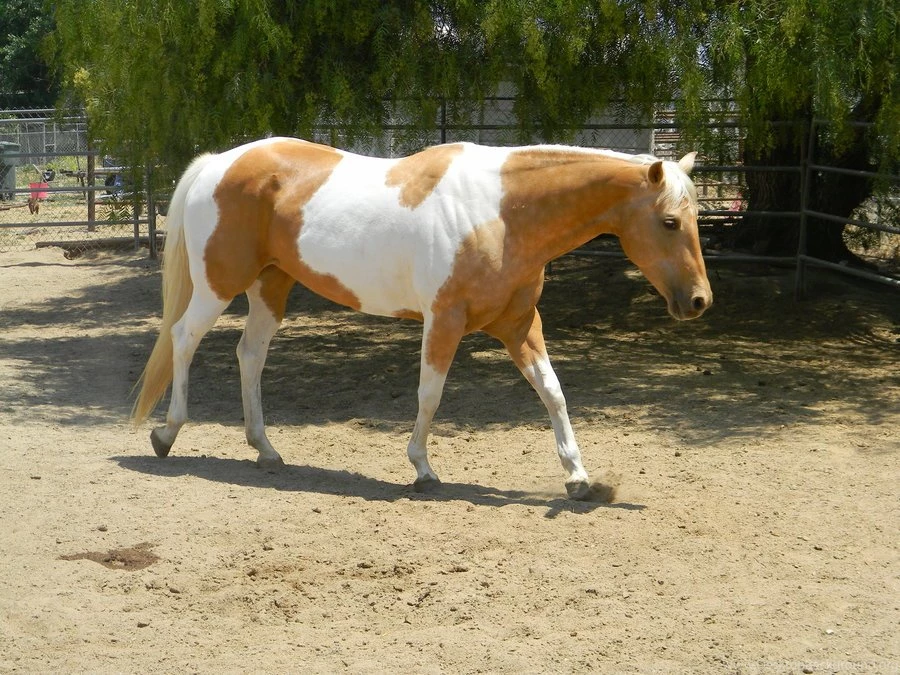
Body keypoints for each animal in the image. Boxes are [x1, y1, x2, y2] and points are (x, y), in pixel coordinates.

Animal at [131, 137, 712, 500]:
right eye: (669, 221)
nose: (699, 301)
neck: (500, 213)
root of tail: (218, 163)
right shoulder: (444, 321)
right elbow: (430, 394)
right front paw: (423, 469)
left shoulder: (520, 325)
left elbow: (553, 393)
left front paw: (578, 478)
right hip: (218, 285)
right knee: (184, 338)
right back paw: (167, 434)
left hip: (271, 287)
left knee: (250, 354)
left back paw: (267, 452)